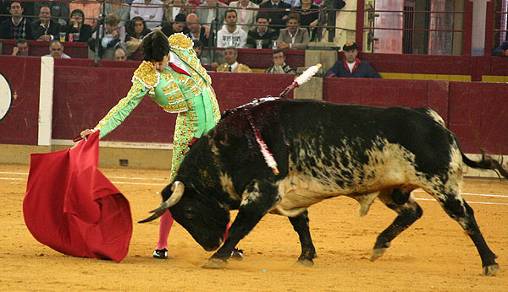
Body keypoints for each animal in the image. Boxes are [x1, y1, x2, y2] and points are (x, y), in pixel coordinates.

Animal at [140, 98, 508, 276]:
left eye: (188, 211)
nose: (208, 243)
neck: (232, 147)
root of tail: (433, 119)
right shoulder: (290, 197)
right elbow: (301, 225)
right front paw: (306, 257)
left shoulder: (262, 193)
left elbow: (241, 227)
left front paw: (217, 258)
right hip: (394, 189)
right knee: (412, 211)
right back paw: (379, 245)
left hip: (442, 185)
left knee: (466, 218)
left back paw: (489, 262)